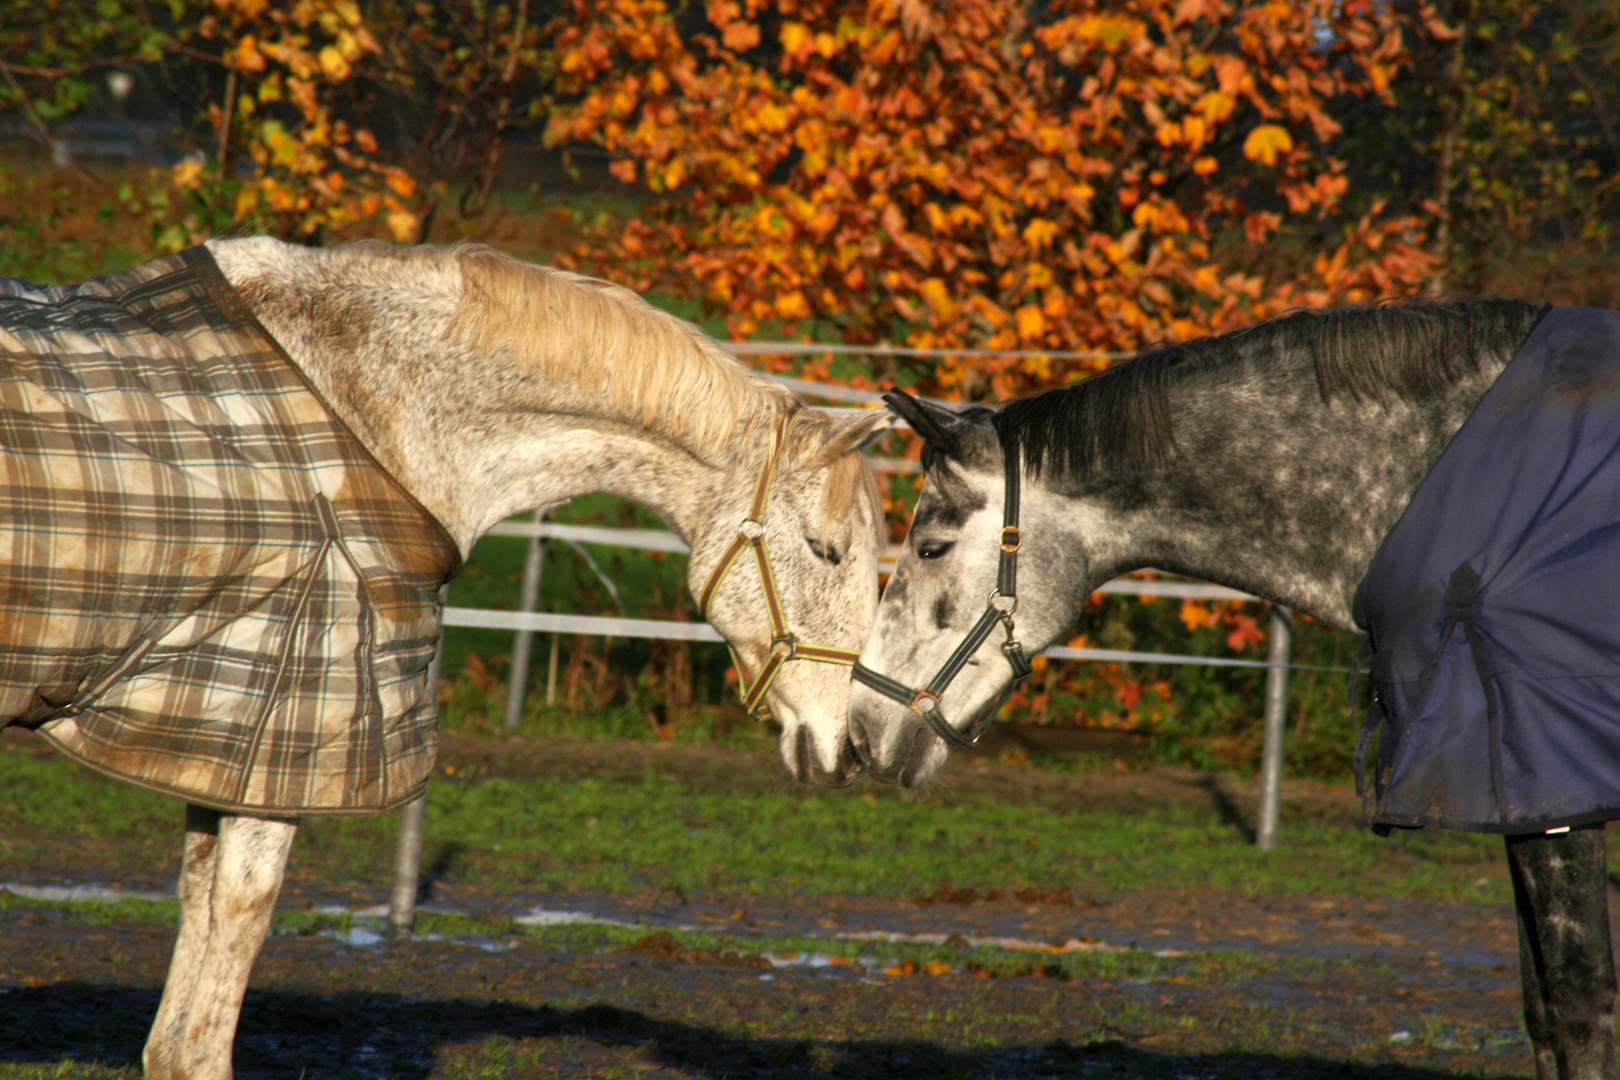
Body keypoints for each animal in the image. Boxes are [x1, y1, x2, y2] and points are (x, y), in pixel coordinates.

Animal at [0, 238, 894, 1080]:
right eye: (827, 549)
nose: (849, 747)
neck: (367, 405)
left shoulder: (214, 733)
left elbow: (194, 913)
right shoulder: (291, 730)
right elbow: (230, 948)